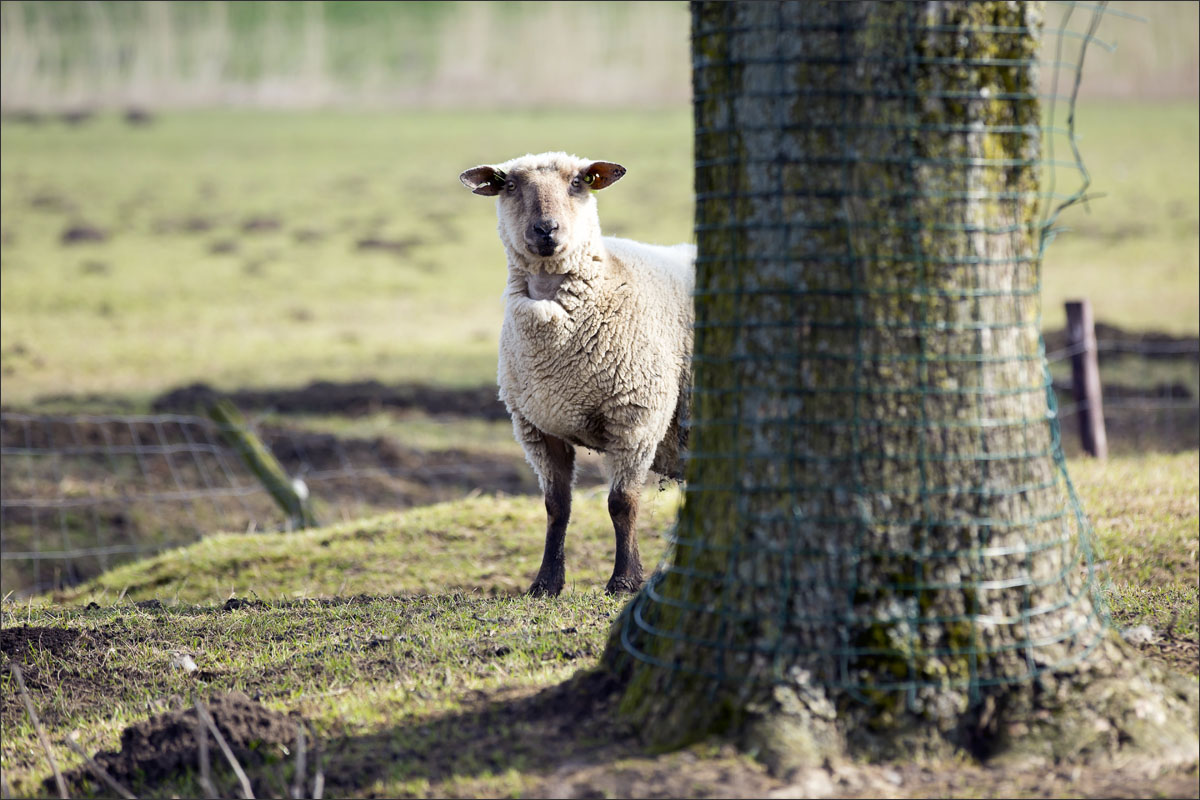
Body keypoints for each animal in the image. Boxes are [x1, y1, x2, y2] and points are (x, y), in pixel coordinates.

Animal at [460, 153, 700, 597]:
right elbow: (557, 507)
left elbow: (622, 503)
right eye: (510, 185)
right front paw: (545, 583)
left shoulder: (636, 419)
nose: (545, 229)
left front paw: (624, 580)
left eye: (578, 182)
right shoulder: (537, 427)